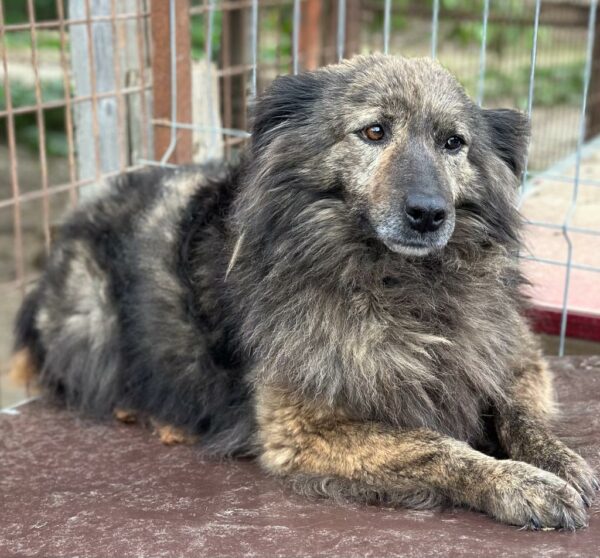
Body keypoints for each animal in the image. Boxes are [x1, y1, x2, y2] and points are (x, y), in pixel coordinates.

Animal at [11, 55, 596, 528]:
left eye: (454, 143)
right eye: (374, 131)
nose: (429, 214)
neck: (401, 285)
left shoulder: (509, 355)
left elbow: (517, 413)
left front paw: (559, 461)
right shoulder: (303, 432)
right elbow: (436, 445)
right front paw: (518, 483)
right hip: (90, 324)